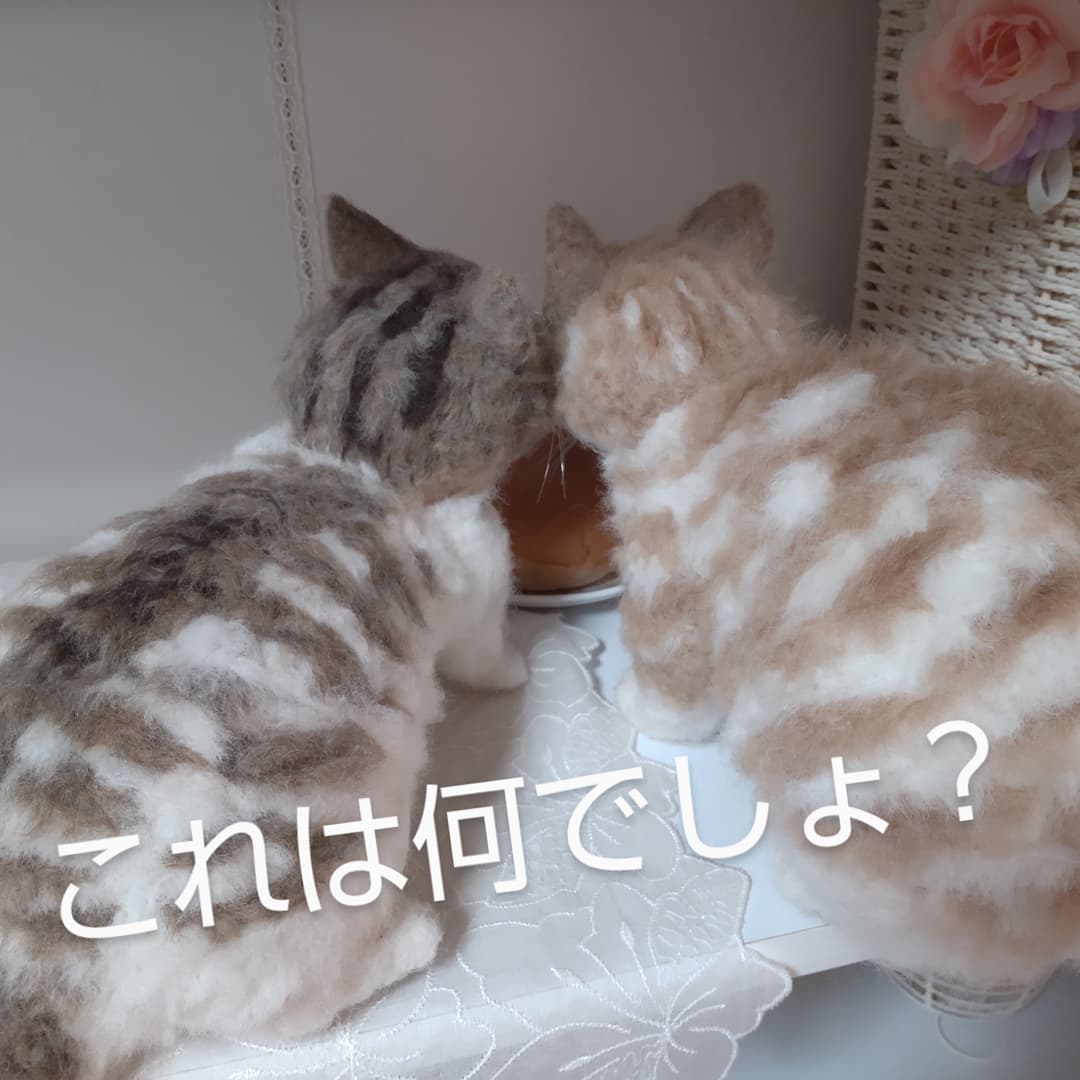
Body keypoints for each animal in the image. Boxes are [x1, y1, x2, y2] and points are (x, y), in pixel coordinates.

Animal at [0, 193, 553, 1078]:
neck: (339, 448)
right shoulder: (480, 577)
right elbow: (489, 656)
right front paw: (518, 670)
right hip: (301, 898)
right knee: (295, 1010)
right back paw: (414, 935)